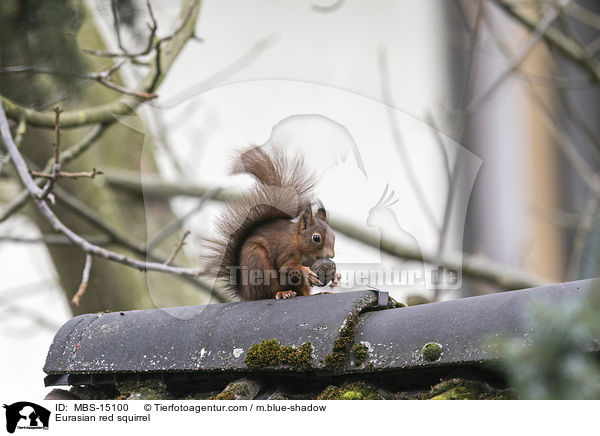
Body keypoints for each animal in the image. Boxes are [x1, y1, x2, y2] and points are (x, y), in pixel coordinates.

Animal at [205, 146, 338, 300]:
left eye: (333, 236)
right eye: (316, 238)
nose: (330, 255)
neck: (298, 243)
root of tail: (247, 294)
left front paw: (334, 274)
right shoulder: (287, 251)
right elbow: (287, 268)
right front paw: (306, 272)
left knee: (301, 291)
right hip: (259, 265)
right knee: (269, 292)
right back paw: (283, 293)